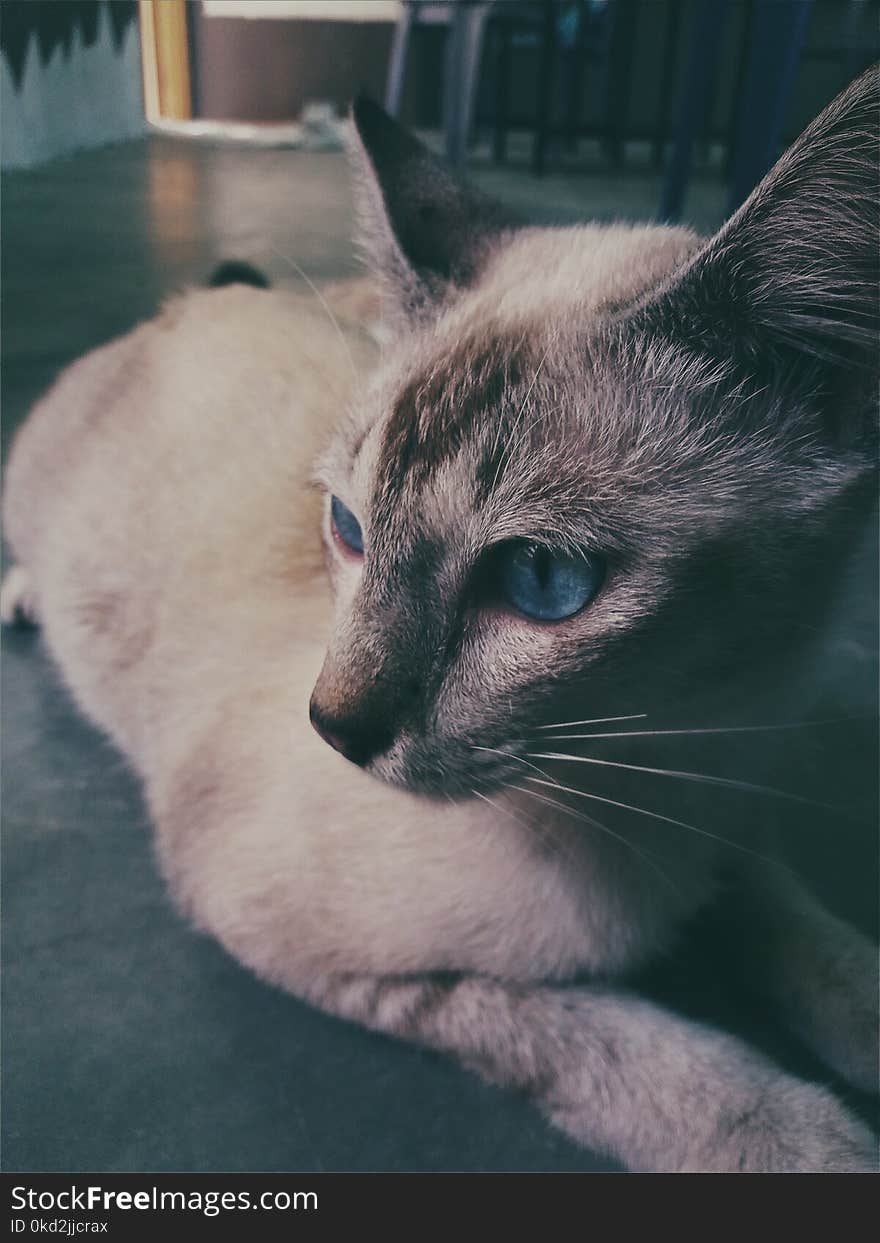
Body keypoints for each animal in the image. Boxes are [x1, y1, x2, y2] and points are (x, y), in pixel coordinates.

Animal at [0, 70, 875, 1173]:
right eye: (348, 527)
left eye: (542, 579)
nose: (332, 727)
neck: (657, 776)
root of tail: (196, 300)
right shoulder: (299, 932)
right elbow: (622, 1045)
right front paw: (811, 1141)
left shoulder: (728, 825)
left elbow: (814, 940)